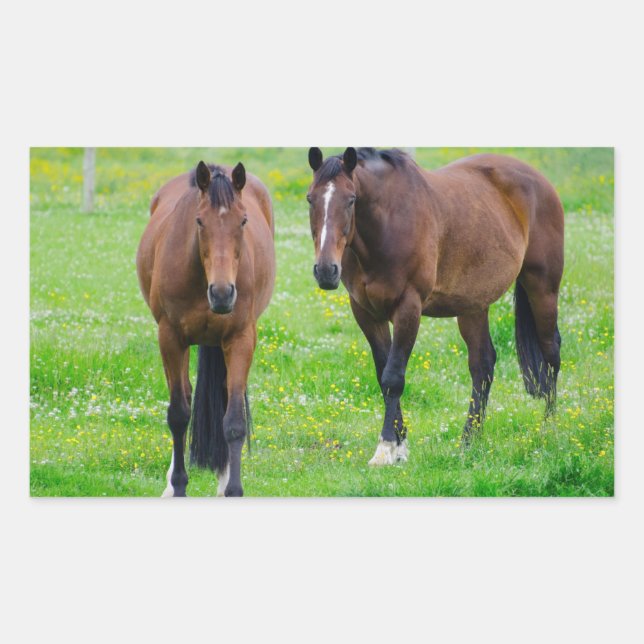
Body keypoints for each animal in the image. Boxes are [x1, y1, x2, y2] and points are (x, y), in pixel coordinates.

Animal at [136, 161, 275, 496]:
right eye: (199, 221)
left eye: (244, 220)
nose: (222, 294)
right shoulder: (170, 338)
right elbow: (178, 414)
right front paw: (178, 486)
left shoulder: (241, 339)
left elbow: (234, 421)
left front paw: (233, 490)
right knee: (184, 397)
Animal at [306, 147, 563, 465]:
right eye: (310, 198)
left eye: (351, 199)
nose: (325, 270)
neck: (387, 226)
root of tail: (540, 181)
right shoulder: (366, 313)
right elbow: (382, 375)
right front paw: (400, 446)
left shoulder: (408, 307)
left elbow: (393, 377)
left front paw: (385, 448)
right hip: (473, 306)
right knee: (483, 365)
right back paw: (469, 440)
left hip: (543, 287)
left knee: (550, 353)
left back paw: (549, 428)